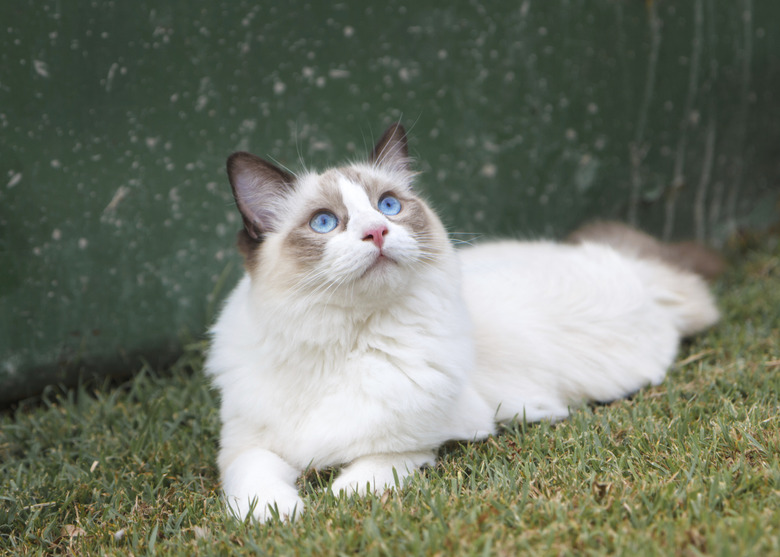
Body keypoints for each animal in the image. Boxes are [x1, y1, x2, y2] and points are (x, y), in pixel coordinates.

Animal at [206, 122, 720, 520]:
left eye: (388, 206)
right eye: (325, 222)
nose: (378, 231)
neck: (342, 340)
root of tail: (636, 268)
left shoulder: (419, 439)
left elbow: (363, 476)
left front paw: (333, 500)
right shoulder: (246, 445)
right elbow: (253, 482)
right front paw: (279, 516)